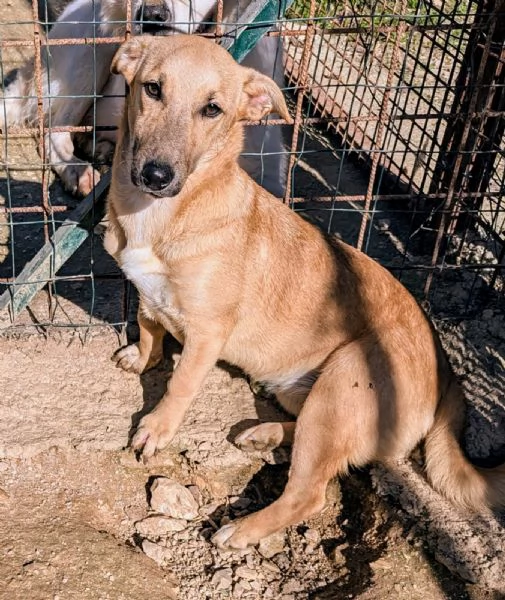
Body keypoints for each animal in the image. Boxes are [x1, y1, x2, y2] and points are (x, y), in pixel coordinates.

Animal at [103, 32, 504, 548]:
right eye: (152, 89)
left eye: (212, 109)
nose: (156, 175)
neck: (161, 216)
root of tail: (447, 372)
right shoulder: (148, 294)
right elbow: (148, 326)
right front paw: (141, 357)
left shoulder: (207, 334)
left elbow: (179, 384)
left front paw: (156, 428)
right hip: (307, 396)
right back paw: (266, 434)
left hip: (341, 386)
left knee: (310, 493)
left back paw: (242, 529)